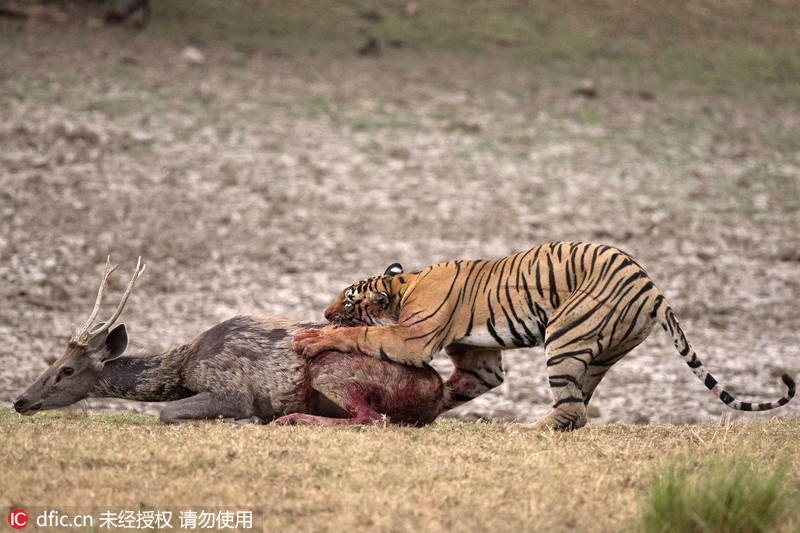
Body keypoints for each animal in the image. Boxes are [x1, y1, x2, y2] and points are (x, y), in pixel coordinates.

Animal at [12, 256, 450, 426]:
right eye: (52, 361)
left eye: (66, 370)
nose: (19, 400)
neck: (183, 366)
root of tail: (438, 387)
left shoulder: (229, 387)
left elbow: (167, 413)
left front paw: (248, 419)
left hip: (332, 371)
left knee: (372, 419)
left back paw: (290, 420)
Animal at [294, 243, 792, 430]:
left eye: (347, 303)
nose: (324, 312)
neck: (402, 286)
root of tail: (656, 290)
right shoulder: (482, 363)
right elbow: (458, 389)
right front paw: (425, 409)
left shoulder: (411, 339)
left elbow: (361, 338)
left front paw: (311, 340)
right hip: (598, 354)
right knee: (578, 409)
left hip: (565, 336)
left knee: (572, 409)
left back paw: (524, 430)